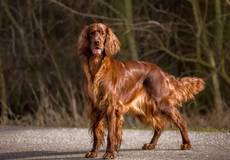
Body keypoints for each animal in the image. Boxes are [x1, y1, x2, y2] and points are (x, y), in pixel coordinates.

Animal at [77, 22, 205, 159]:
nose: (97, 42)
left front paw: (110, 153)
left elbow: (111, 134)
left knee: (180, 121)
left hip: (162, 103)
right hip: (144, 108)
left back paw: (186, 143)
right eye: (92, 33)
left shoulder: (111, 107)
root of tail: (161, 72)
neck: (97, 67)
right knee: (160, 125)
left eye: (102, 33)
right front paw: (93, 152)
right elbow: (96, 132)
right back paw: (151, 145)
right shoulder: (95, 107)